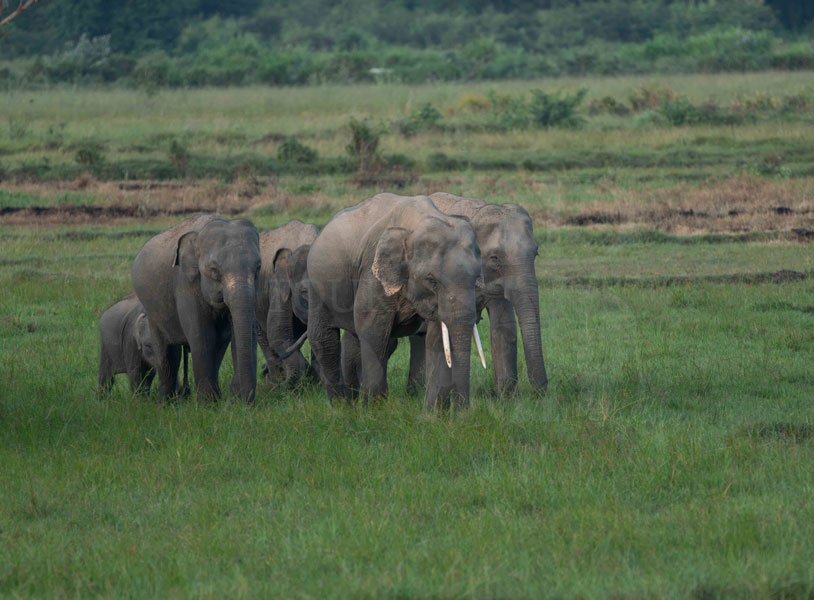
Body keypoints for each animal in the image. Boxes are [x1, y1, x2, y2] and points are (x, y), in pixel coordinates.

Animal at [132, 214, 261, 402]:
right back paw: (165, 403)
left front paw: (234, 401)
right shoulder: (186, 284)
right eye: (214, 270)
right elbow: (202, 335)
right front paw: (207, 405)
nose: (239, 397)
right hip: (152, 311)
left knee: (216, 345)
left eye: (258, 267)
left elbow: (238, 334)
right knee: (165, 350)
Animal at [306, 193, 484, 408]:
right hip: (317, 285)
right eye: (431, 280)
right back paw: (343, 406)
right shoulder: (372, 274)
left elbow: (437, 338)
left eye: (476, 278)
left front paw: (432, 413)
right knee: (325, 340)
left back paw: (354, 403)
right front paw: (375, 409)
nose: (462, 411)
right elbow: (373, 332)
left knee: (355, 339)